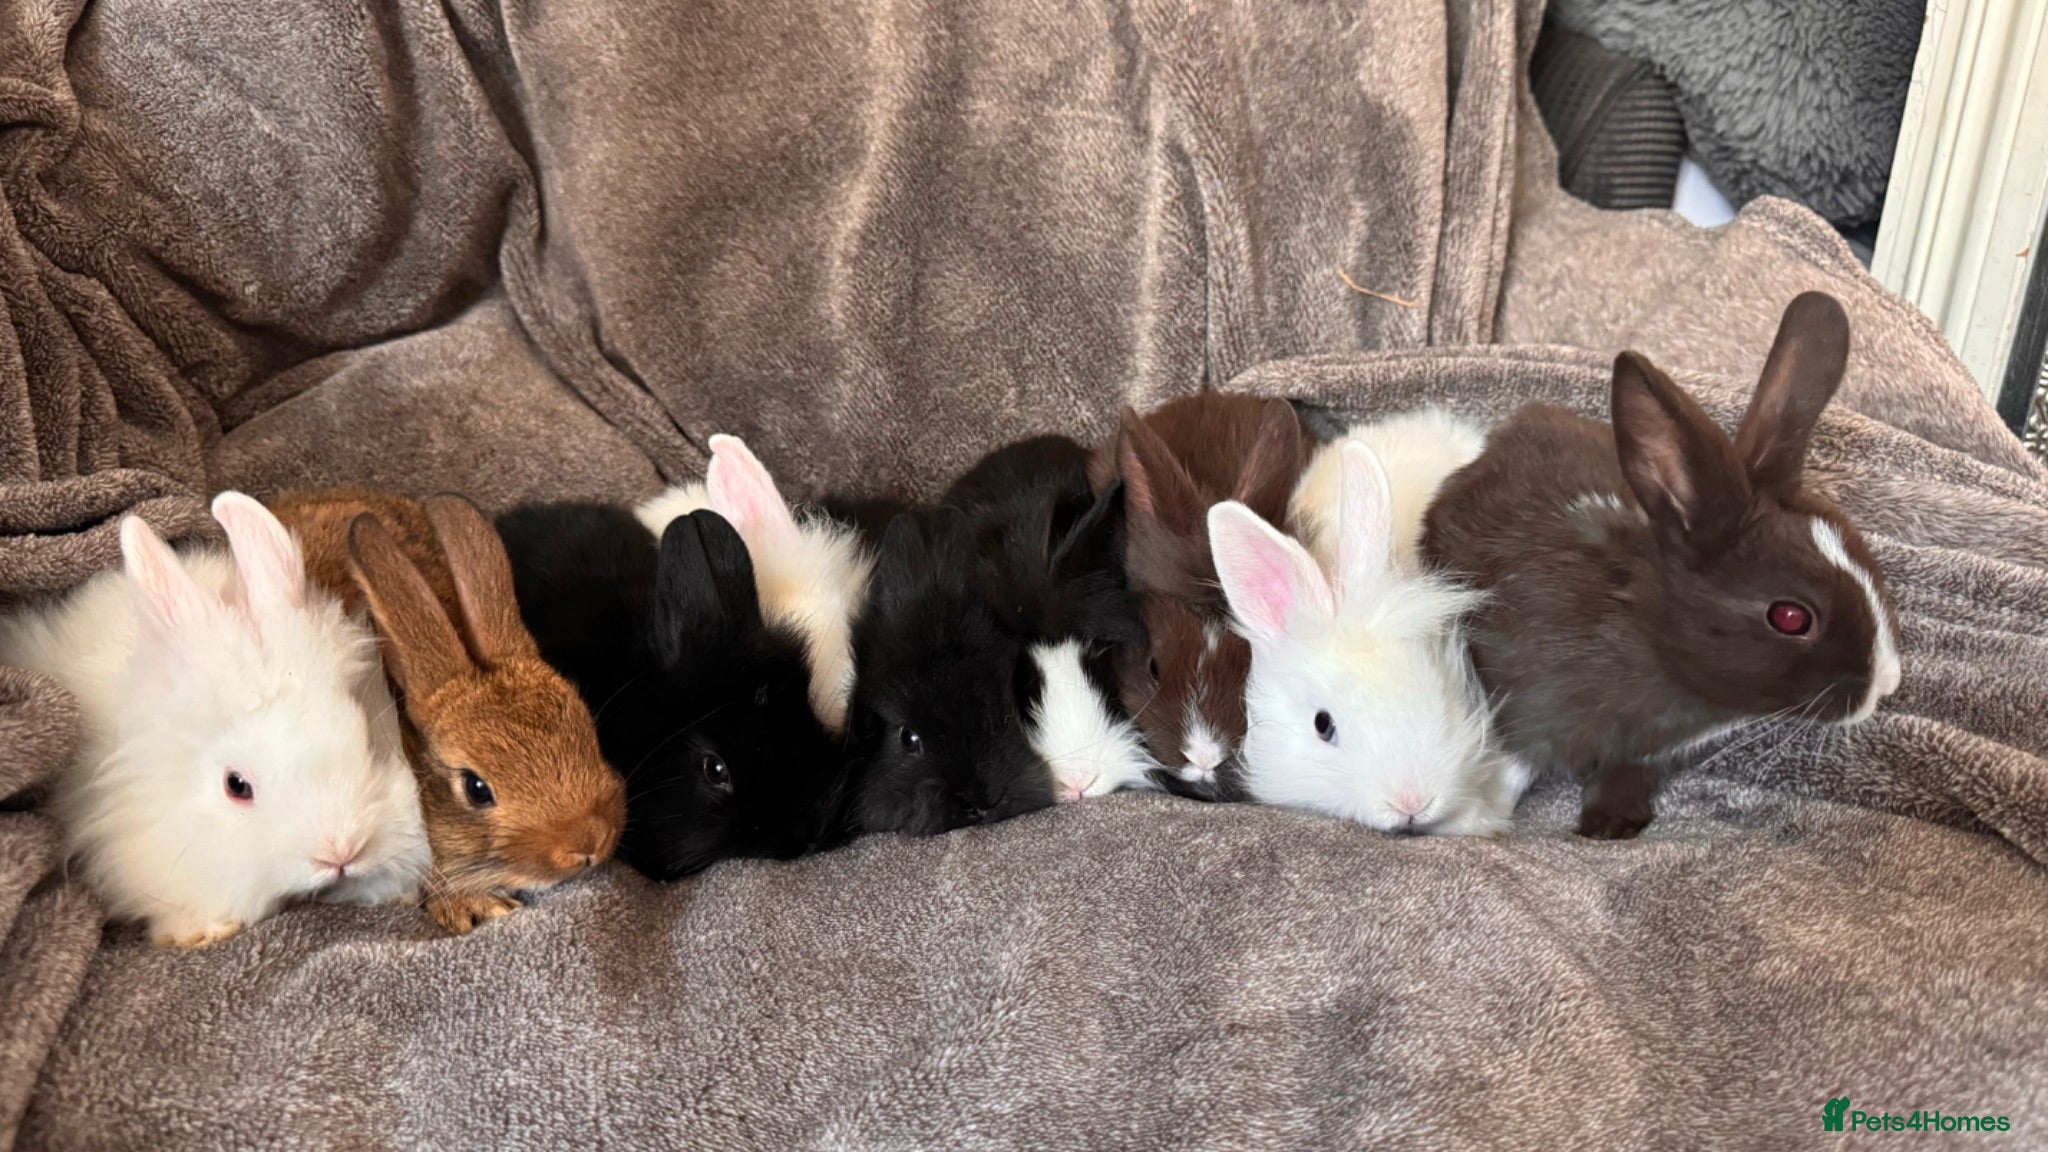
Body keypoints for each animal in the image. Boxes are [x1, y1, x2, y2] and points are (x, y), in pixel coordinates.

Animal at [1421, 291, 1904, 839]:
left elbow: (1625, 776)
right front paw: (1479, 824)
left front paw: (1613, 825)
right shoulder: (1520, 705)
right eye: (1789, 617)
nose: (1888, 682)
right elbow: (1515, 765)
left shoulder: (1647, 756)